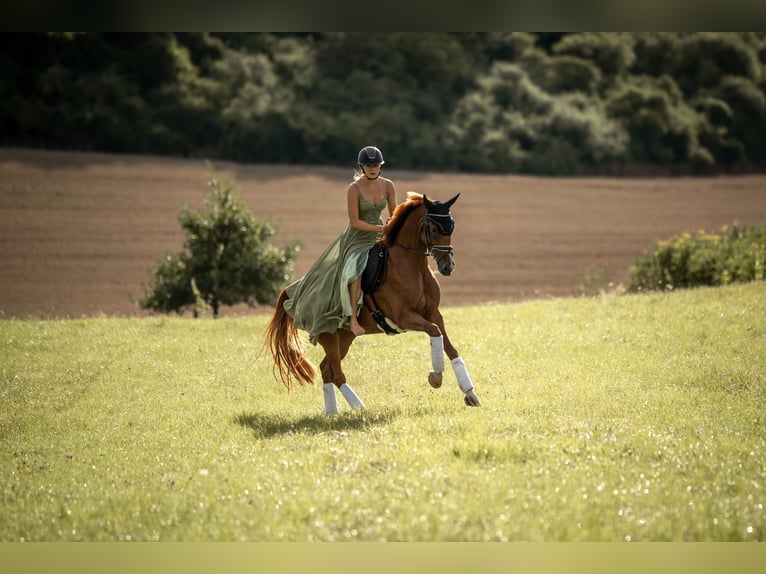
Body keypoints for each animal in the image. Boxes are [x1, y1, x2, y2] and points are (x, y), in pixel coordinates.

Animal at [264, 191, 481, 414]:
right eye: (435, 228)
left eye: (452, 226)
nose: (448, 267)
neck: (413, 267)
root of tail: (293, 291)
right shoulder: (403, 317)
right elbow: (434, 331)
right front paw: (436, 377)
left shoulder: (434, 313)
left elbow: (449, 346)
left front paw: (470, 393)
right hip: (328, 335)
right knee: (336, 374)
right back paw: (359, 408)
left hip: (345, 337)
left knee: (326, 369)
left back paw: (333, 412)